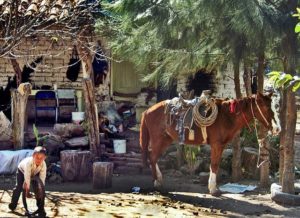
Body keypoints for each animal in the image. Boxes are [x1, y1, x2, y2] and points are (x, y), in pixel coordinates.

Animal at [141, 93, 282, 195]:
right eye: (266, 107)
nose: (277, 129)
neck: (226, 116)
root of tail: (147, 111)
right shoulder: (216, 145)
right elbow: (214, 165)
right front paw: (213, 189)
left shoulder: (221, 146)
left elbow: (216, 165)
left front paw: (213, 187)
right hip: (158, 139)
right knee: (152, 157)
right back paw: (157, 182)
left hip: (166, 139)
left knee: (153, 157)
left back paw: (158, 180)